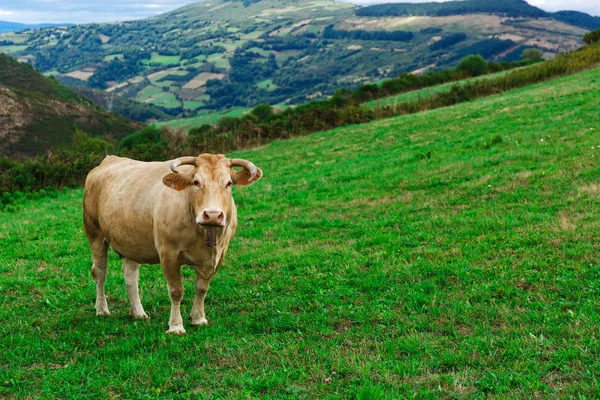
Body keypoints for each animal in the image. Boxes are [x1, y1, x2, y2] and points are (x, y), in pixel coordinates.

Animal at [82, 153, 262, 334]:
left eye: (229, 183)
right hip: (95, 234)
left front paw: (198, 318)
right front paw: (176, 326)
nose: (212, 215)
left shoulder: (218, 255)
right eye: (196, 182)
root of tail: (109, 159)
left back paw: (138, 312)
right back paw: (102, 309)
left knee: (130, 274)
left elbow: (201, 288)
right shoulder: (168, 254)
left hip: (132, 241)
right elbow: (176, 291)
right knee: (99, 271)